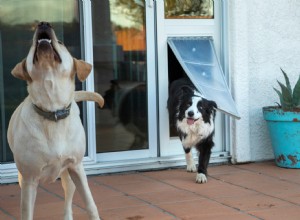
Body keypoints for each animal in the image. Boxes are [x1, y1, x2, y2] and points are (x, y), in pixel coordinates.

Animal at [6, 21, 103, 220]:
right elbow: (27, 212)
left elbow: (90, 204)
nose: (43, 23)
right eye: (31, 46)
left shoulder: (76, 167)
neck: (53, 111)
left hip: (68, 176)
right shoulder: (29, 180)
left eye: (61, 42)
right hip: (23, 180)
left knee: (68, 198)